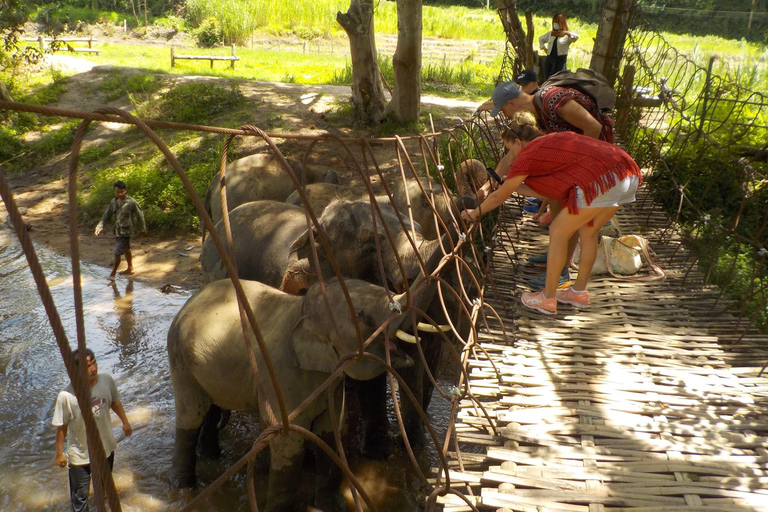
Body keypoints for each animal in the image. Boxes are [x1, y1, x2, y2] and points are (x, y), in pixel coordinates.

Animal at [168, 278, 426, 511]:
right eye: (360, 314)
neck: (302, 309)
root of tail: (189, 301)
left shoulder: (329, 380)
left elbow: (331, 428)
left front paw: (333, 507)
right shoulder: (280, 376)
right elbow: (289, 441)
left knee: (210, 407)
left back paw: (211, 455)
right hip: (179, 358)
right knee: (191, 414)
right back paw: (184, 486)